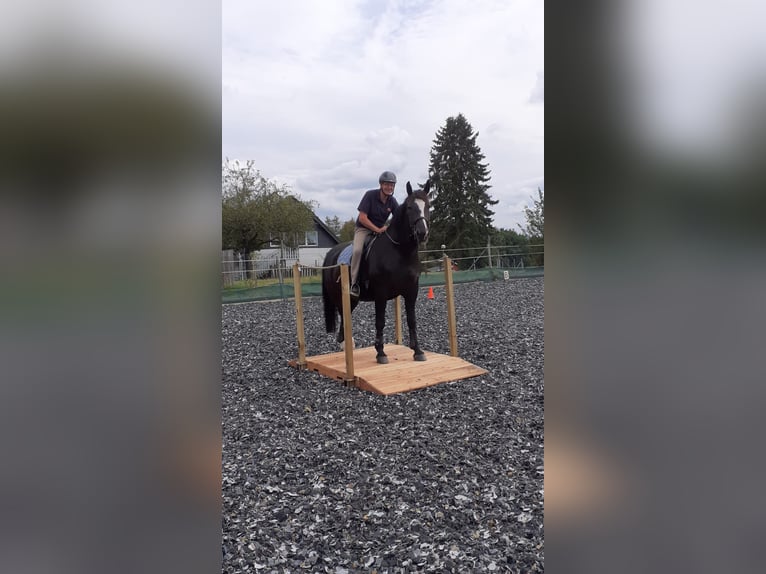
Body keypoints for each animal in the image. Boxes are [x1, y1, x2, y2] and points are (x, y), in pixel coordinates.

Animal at [322, 182, 432, 364]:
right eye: (410, 207)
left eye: (428, 206)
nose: (422, 233)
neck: (399, 251)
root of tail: (332, 253)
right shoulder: (381, 293)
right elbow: (380, 322)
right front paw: (381, 353)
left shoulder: (411, 291)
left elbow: (412, 320)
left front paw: (417, 351)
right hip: (341, 296)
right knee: (343, 314)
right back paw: (345, 343)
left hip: (352, 299)